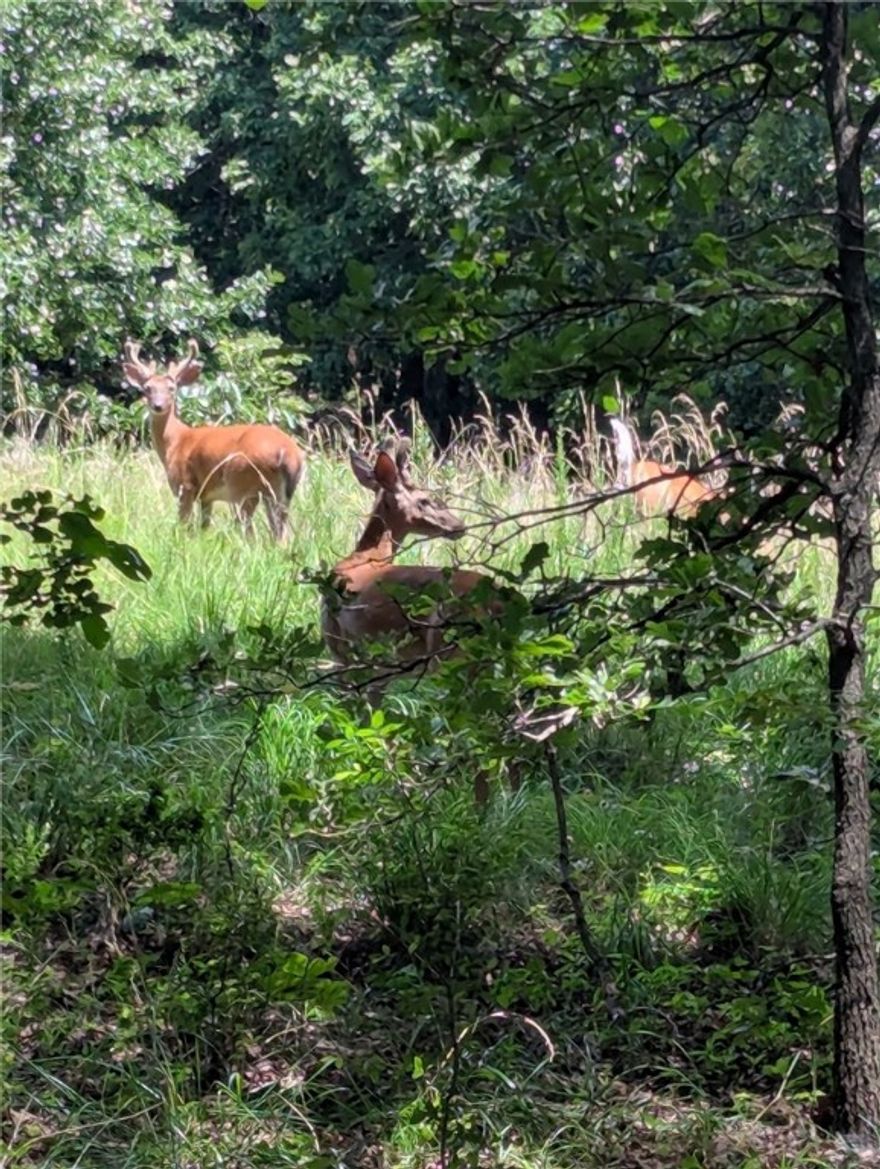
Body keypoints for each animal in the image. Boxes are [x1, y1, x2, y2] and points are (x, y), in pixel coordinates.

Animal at [122, 339, 304, 541]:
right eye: (147, 388)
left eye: (172, 389)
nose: (158, 406)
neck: (175, 441)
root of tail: (288, 453)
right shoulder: (206, 496)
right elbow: (204, 526)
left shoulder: (185, 484)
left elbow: (184, 524)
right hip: (281, 493)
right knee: (280, 532)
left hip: (243, 482)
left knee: (250, 530)